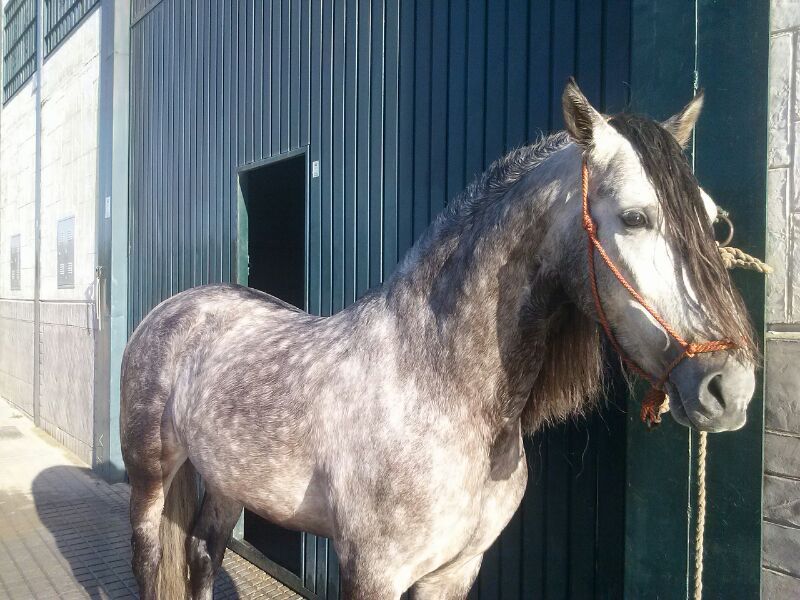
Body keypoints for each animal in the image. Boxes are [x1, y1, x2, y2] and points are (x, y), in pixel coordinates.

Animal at [121, 79, 757, 599]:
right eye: (634, 217)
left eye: (713, 221)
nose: (730, 389)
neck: (437, 385)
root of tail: (174, 308)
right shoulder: (374, 573)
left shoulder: (454, 571)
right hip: (150, 477)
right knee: (150, 561)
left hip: (228, 482)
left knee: (203, 555)